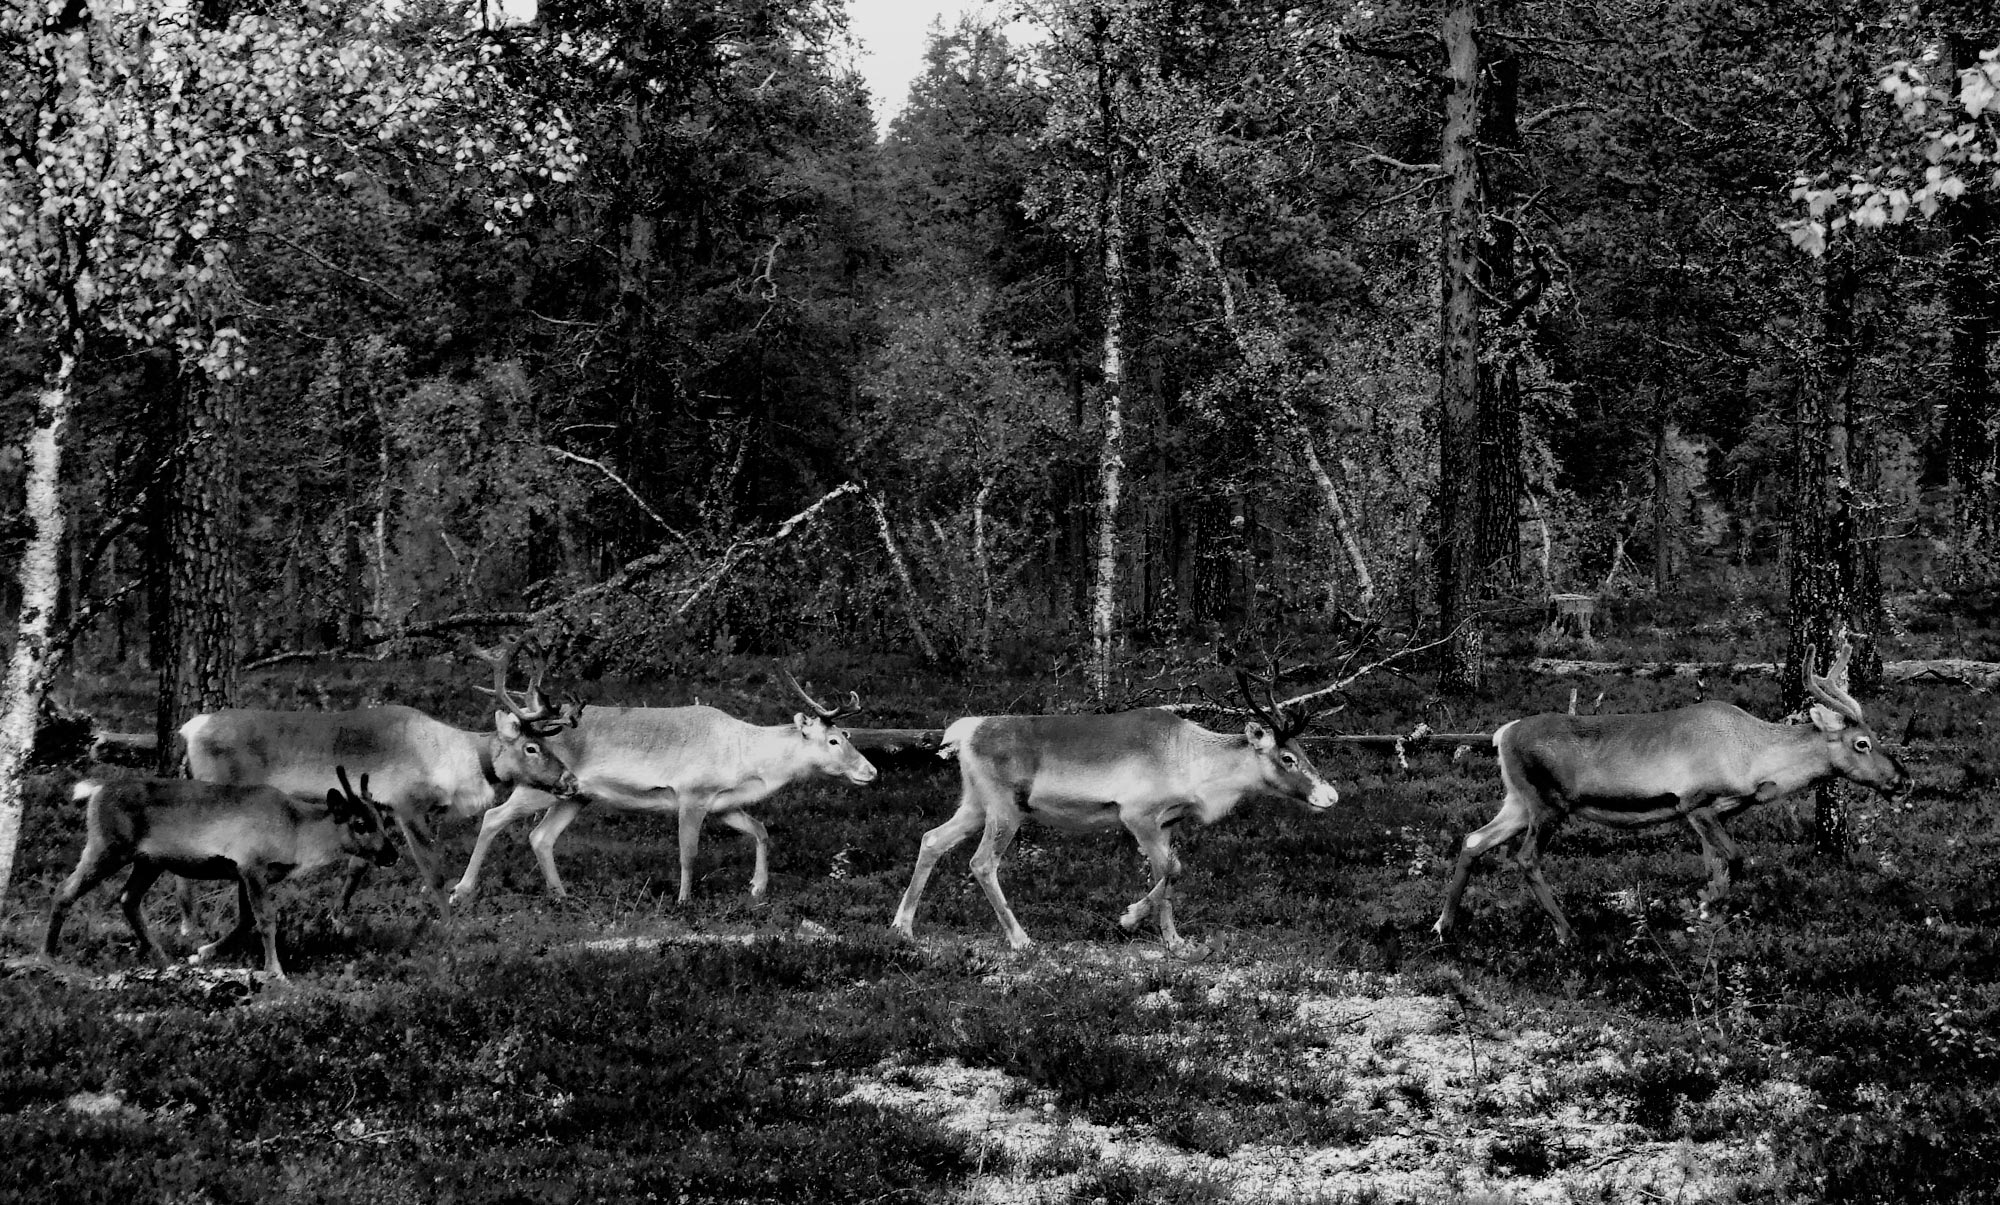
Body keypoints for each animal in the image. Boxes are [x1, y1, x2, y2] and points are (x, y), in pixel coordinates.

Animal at [45, 768, 394, 976]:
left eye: (382, 819)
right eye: (359, 824)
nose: (392, 854)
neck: (297, 830)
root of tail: (95, 790)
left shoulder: (242, 873)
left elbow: (246, 920)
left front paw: (202, 953)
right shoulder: (252, 865)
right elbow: (266, 919)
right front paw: (276, 971)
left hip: (149, 861)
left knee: (128, 899)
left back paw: (162, 957)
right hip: (108, 846)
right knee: (64, 890)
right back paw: (47, 954)